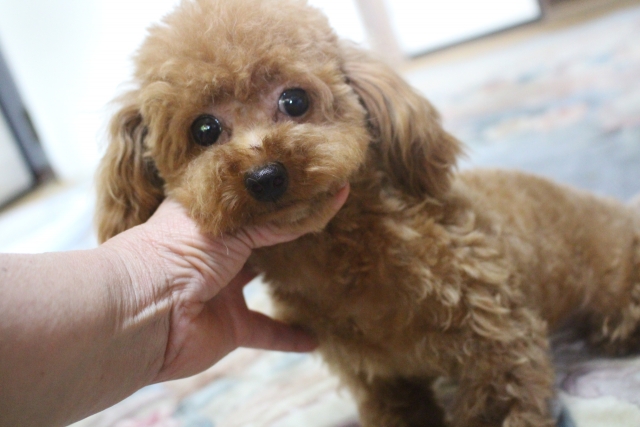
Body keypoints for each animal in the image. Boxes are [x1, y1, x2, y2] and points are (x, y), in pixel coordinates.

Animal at [95, 0, 640, 425]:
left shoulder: (496, 345)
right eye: (204, 130)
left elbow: (501, 399)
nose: (266, 175)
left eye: (295, 100)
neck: (341, 261)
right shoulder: (381, 381)